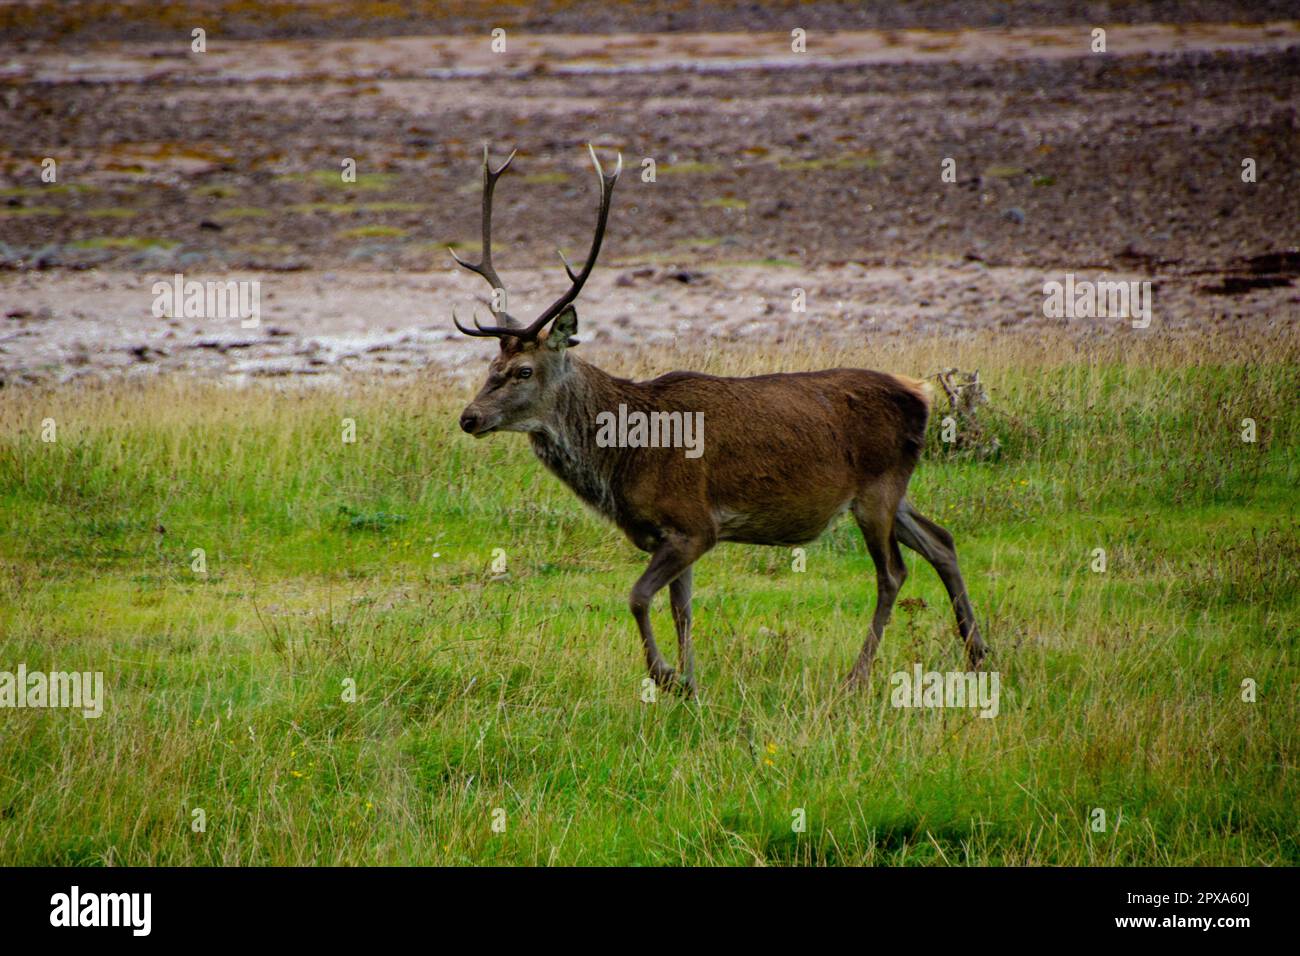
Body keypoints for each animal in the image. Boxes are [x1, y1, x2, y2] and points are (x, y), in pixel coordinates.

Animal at [450, 145, 988, 696]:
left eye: (524, 370)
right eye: (490, 367)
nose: (470, 417)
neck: (623, 458)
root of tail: (922, 393)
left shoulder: (694, 523)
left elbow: (638, 597)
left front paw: (666, 675)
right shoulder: (671, 535)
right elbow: (681, 608)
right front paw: (689, 681)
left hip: (877, 489)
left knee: (893, 573)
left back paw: (857, 676)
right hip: (892, 490)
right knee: (942, 542)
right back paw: (976, 653)